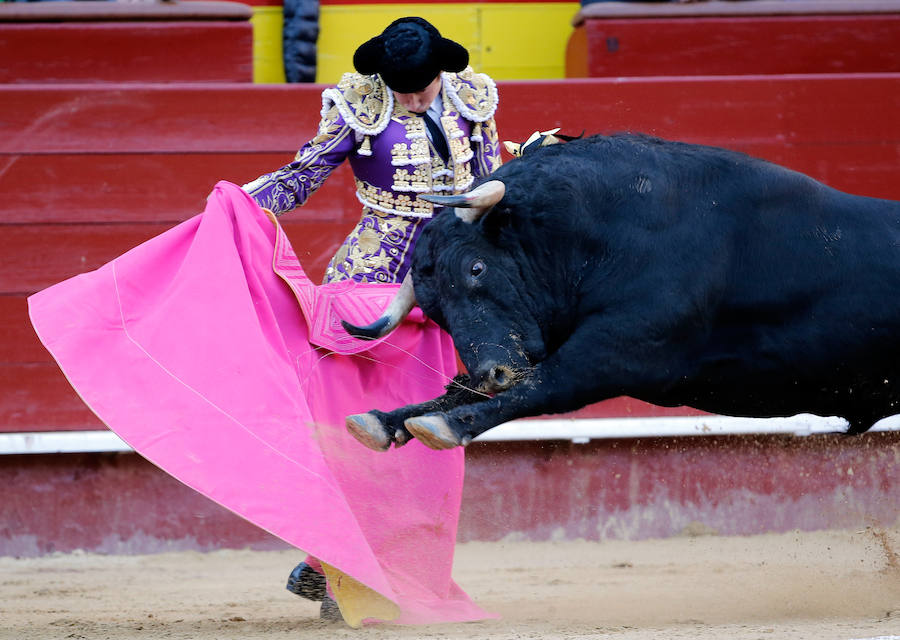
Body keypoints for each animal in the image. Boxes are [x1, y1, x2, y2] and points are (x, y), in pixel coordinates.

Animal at [340, 132, 900, 450]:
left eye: (477, 267)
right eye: (435, 313)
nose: (490, 371)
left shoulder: (618, 354)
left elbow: (541, 387)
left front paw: (445, 428)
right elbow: (457, 389)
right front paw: (383, 420)